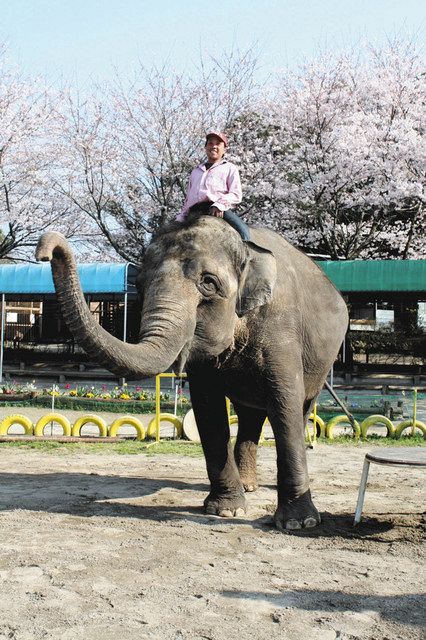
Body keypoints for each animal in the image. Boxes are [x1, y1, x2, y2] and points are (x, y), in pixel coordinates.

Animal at [35, 214, 350, 528]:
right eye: (140, 283)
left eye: (208, 283)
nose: (44, 252)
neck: (245, 249)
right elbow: (208, 408)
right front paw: (226, 510)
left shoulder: (281, 329)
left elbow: (285, 404)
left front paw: (299, 523)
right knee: (250, 415)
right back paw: (249, 486)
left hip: (322, 362)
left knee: (300, 409)